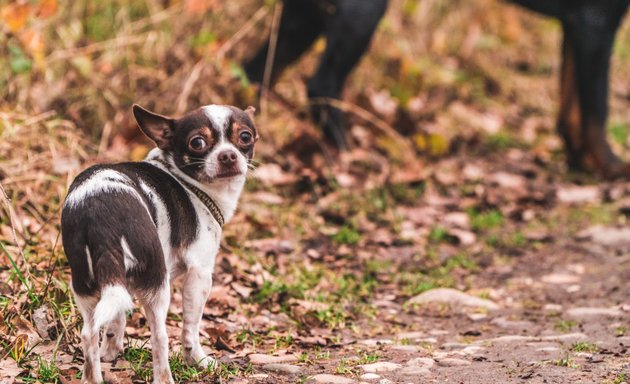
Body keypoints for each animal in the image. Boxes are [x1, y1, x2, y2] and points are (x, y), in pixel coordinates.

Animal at [61, 103, 260, 382]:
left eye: (244, 137)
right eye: (197, 142)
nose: (228, 155)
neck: (186, 180)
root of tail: (100, 209)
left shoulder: (120, 284)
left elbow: (115, 319)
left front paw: (111, 350)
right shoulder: (200, 274)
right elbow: (191, 326)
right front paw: (198, 360)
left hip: (85, 285)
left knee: (89, 333)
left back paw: (92, 377)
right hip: (158, 285)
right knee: (160, 337)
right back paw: (164, 376)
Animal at [244, 0, 630, 180]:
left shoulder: (578, 27)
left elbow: (572, 109)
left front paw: (582, 162)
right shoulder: (595, 23)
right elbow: (596, 111)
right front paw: (613, 169)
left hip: (301, 18)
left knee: (255, 71)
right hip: (358, 14)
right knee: (322, 83)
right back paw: (348, 154)